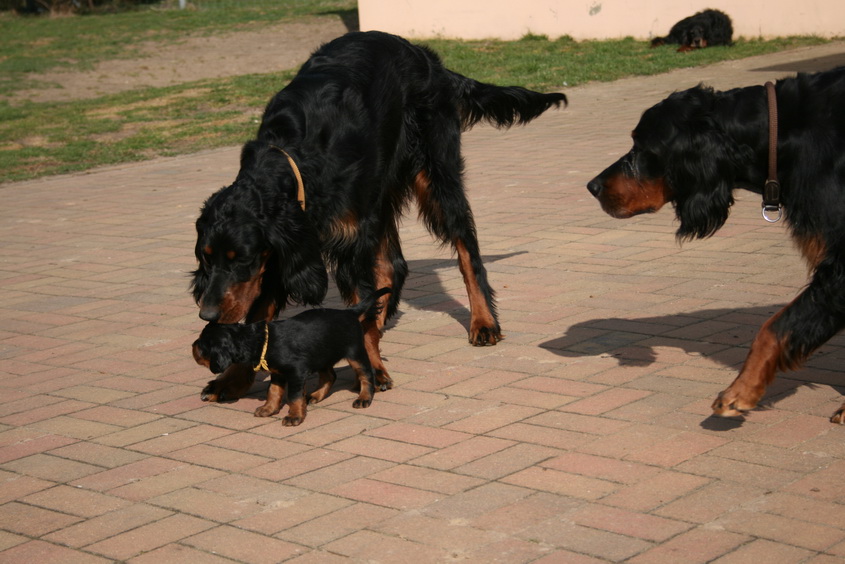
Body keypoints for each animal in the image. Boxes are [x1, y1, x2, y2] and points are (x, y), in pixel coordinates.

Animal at [191, 30, 567, 403]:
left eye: (240, 258)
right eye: (206, 259)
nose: (207, 314)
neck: (295, 155)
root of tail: (425, 56)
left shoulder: (346, 236)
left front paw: (372, 367)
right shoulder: (282, 251)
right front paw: (232, 379)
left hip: (435, 176)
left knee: (466, 251)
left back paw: (483, 322)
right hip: (382, 192)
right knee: (393, 264)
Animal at [192, 288, 391, 426]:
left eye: (201, 345)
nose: (192, 347)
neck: (261, 341)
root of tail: (350, 312)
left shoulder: (296, 372)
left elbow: (294, 396)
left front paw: (294, 417)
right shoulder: (278, 373)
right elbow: (273, 391)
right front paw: (268, 409)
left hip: (355, 352)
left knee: (366, 375)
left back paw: (364, 398)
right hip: (321, 354)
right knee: (330, 376)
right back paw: (315, 395)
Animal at [586, 67, 845, 422]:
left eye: (641, 146)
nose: (592, 186)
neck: (781, 134)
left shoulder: (840, 268)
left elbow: (775, 326)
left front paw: (739, 391)